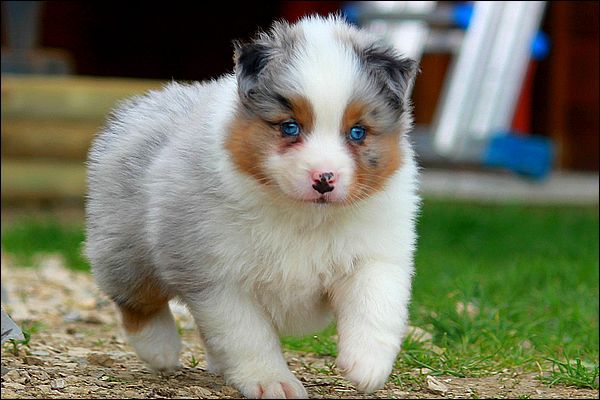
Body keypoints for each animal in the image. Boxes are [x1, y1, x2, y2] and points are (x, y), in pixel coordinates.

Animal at [84, 13, 420, 400]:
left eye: (357, 132)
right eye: (289, 127)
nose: (324, 179)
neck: (304, 217)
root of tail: (150, 103)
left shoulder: (376, 253)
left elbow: (375, 303)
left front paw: (367, 365)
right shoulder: (218, 275)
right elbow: (247, 335)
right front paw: (272, 381)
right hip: (127, 248)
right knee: (138, 302)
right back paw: (161, 351)